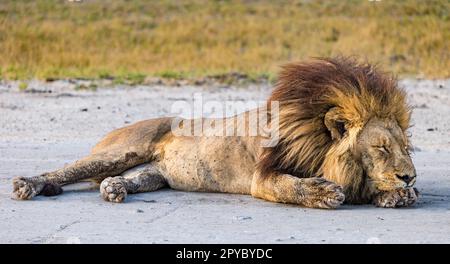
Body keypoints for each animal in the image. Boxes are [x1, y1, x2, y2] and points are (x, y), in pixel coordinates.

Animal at [10, 57, 418, 208]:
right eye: (381, 148)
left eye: (405, 147)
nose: (410, 176)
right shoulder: (261, 178)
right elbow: (291, 186)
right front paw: (324, 192)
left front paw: (398, 194)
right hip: (120, 150)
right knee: (62, 171)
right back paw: (28, 184)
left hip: (155, 173)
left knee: (132, 178)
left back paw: (114, 188)